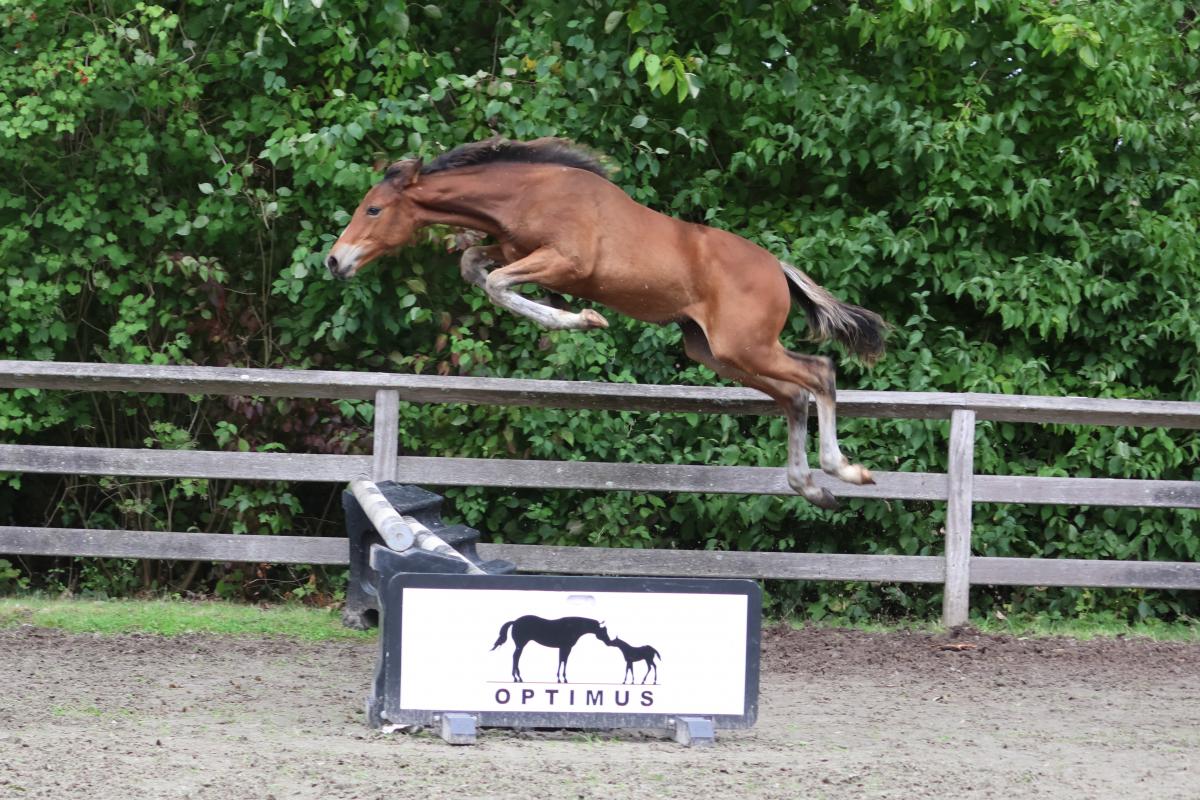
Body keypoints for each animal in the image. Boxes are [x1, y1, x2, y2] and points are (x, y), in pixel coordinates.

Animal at [326, 137, 887, 508]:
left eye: (374, 209)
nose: (335, 261)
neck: (527, 192)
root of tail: (777, 269)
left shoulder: (563, 263)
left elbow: (498, 284)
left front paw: (586, 319)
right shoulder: (512, 250)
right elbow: (476, 268)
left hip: (745, 347)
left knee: (819, 373)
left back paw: (843, 471)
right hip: (717, 354)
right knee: (793, 397)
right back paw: (811, 488)